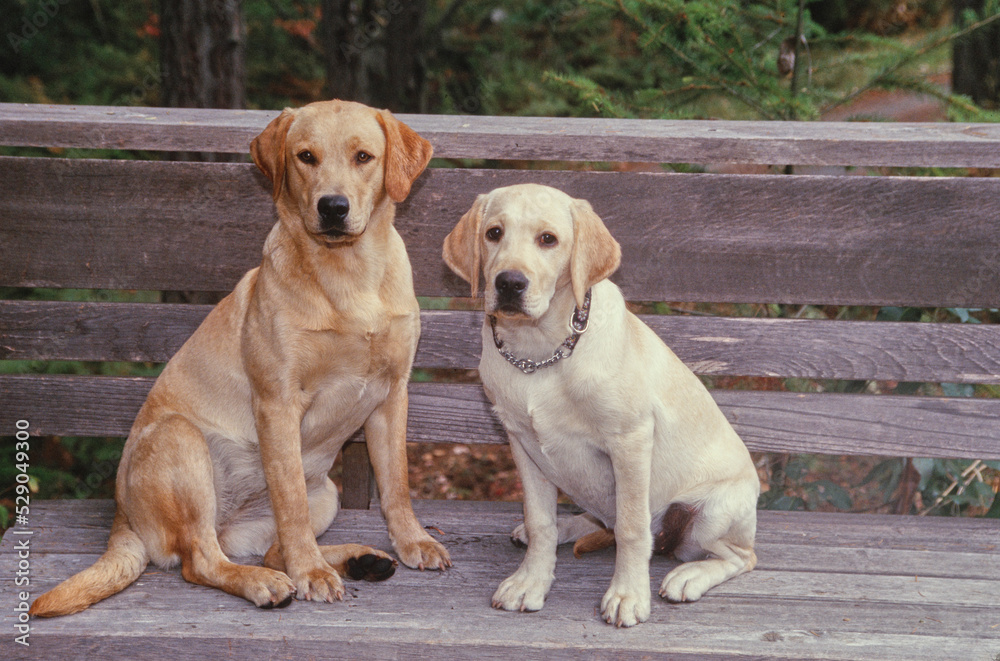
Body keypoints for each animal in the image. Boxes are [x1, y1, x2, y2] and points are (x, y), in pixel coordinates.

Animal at [30, 100, 454, 616]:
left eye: (363, 157)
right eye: (305, 156)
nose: (333, 207)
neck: (349, 277)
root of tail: (120, 517)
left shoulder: (391, 395)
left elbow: (396, 484)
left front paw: (413, 541)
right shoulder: (278, 403)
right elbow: (290, 502)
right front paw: (313, 574)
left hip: (326, 495)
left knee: (270, 549)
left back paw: (357, 560)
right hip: (181, 440)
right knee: (203, 560)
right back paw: (270, 580)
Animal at [444, 183, 756, 628]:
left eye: (548, 239)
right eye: (493, 233)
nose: (509, 283)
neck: (541, 354)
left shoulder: (630, 441)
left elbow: (631, 529)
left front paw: (627, 595)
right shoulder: (521, 442)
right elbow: (540, 521)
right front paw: (531, 580)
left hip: (713, 514)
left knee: (739, 557)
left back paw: (689, 576)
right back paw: (566, 527)